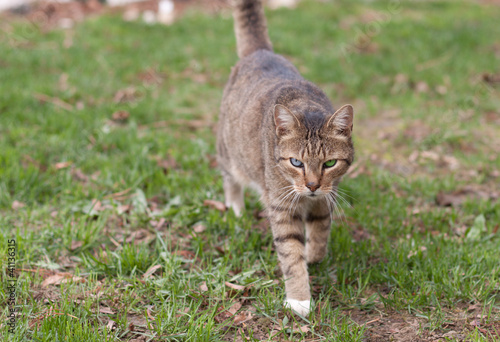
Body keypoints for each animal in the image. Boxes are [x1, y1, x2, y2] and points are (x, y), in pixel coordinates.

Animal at [216, 0, 356, 316]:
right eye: (296, 163)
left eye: (330, 164)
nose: (313, 185)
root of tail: (260, 51)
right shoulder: (281, 207)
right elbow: (292, 254)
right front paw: (299, 299)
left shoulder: (324, 200)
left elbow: (320, 234)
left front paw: (313, 255)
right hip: (229, 153)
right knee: (230, 179)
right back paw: (236, 208)